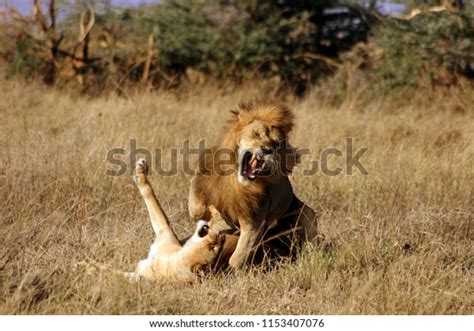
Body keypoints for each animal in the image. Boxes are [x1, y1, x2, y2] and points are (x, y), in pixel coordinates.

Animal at [189, 103, 318, 270]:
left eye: (276, 143)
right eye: (256, 134)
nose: (267, 150)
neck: (237, 183)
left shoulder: (254, 223)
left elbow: (237, 258)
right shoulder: (202, 185)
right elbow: (196, 209)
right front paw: (215, 218)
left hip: (307, 214)